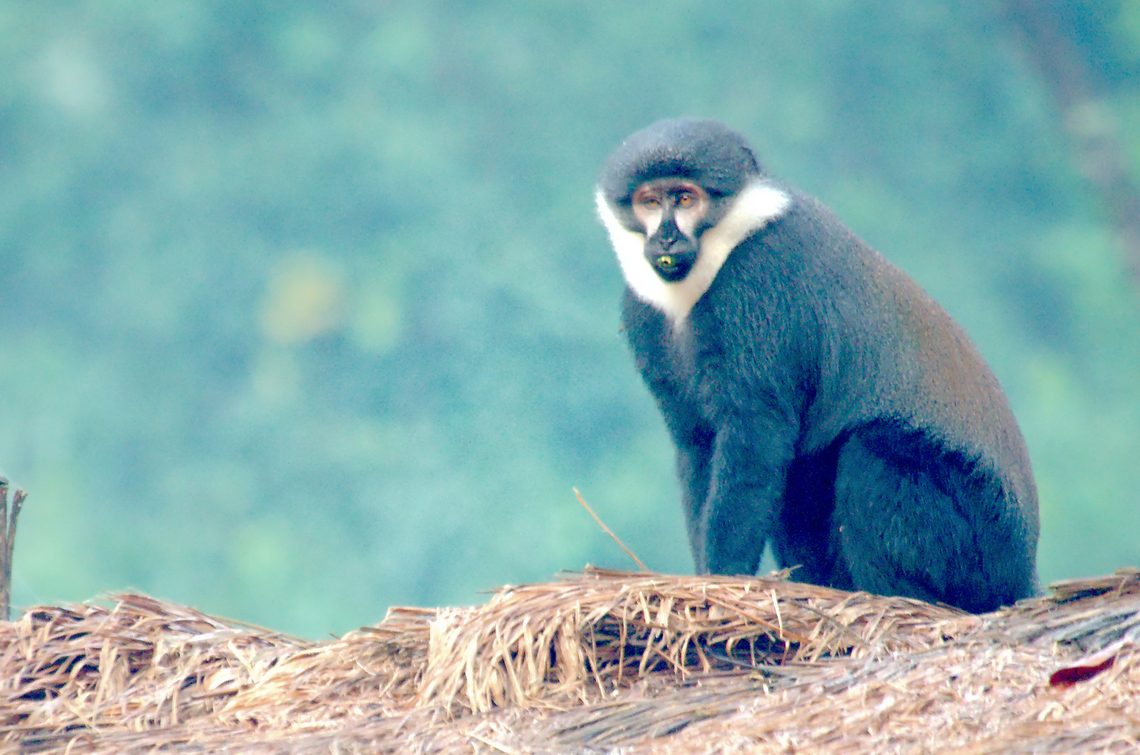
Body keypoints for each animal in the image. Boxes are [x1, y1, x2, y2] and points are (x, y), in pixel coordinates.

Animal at [596, 118, 1039, 613]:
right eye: (650, 202)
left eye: (685, 198)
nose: (666, 237)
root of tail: (1024, 576)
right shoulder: (643, 314)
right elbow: (697, 442)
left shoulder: (756, 286)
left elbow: (755, 436)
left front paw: (722, 576)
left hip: (980, 545)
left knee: (871, 453)